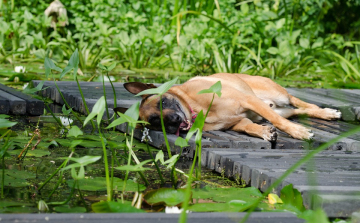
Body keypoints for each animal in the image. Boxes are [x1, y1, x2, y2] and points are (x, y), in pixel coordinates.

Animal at [122, 74, 342, 142]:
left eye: (163, 103)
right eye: (154, 122)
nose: (174, 122)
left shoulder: (248, 100)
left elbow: (279, 122)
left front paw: (298, 132)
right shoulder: (237, 121)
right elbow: (249, 127)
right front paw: (265, 132)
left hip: (278, 95)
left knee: (297, 102)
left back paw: (327, 112)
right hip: (280, 108)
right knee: (297, 111)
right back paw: (326, 114)